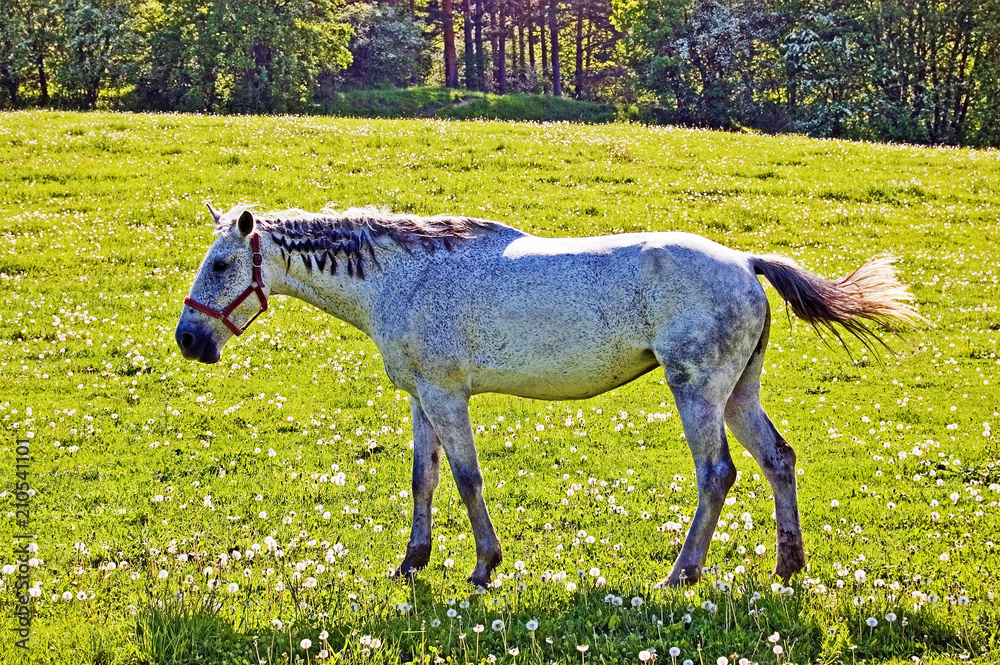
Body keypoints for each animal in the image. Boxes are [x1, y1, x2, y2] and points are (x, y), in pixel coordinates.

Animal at [175, 203, 922, 588]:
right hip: (739, 393)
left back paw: (681, 573)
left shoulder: (447, 396)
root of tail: (745, 262)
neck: (405, 278)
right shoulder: (420, 397)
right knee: (778, 461)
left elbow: (467, 479)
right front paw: (411, 562)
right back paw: (789, 566)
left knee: (718, 473)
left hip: (698, 393)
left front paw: (483, 566)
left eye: (222, 263)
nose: (188, 339)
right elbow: (423, 479)